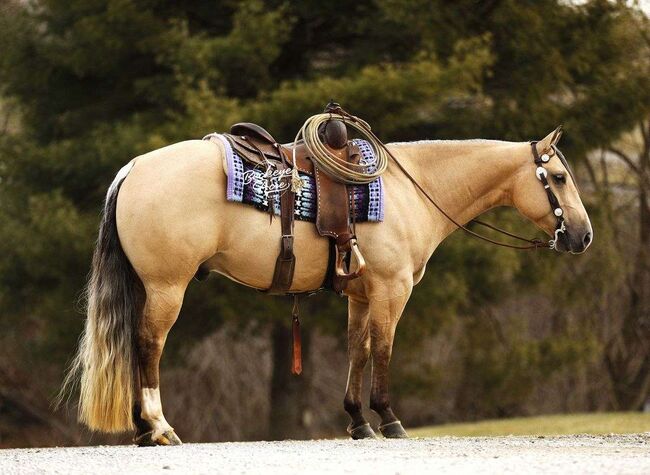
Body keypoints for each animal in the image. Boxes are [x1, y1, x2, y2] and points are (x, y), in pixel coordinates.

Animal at [61, 126, 592, 445]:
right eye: (558, 177)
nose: (583, 236)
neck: (412, 189)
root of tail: (134, 168)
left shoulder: (361, 296)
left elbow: (358, 350)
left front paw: (358, 421)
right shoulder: (392, 291)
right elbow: (383, 350)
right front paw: (388, 419)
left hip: (146, 287)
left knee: (136, 346)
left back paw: (141, 428)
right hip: (167, 286)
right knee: (149, 346)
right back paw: (159, 426)